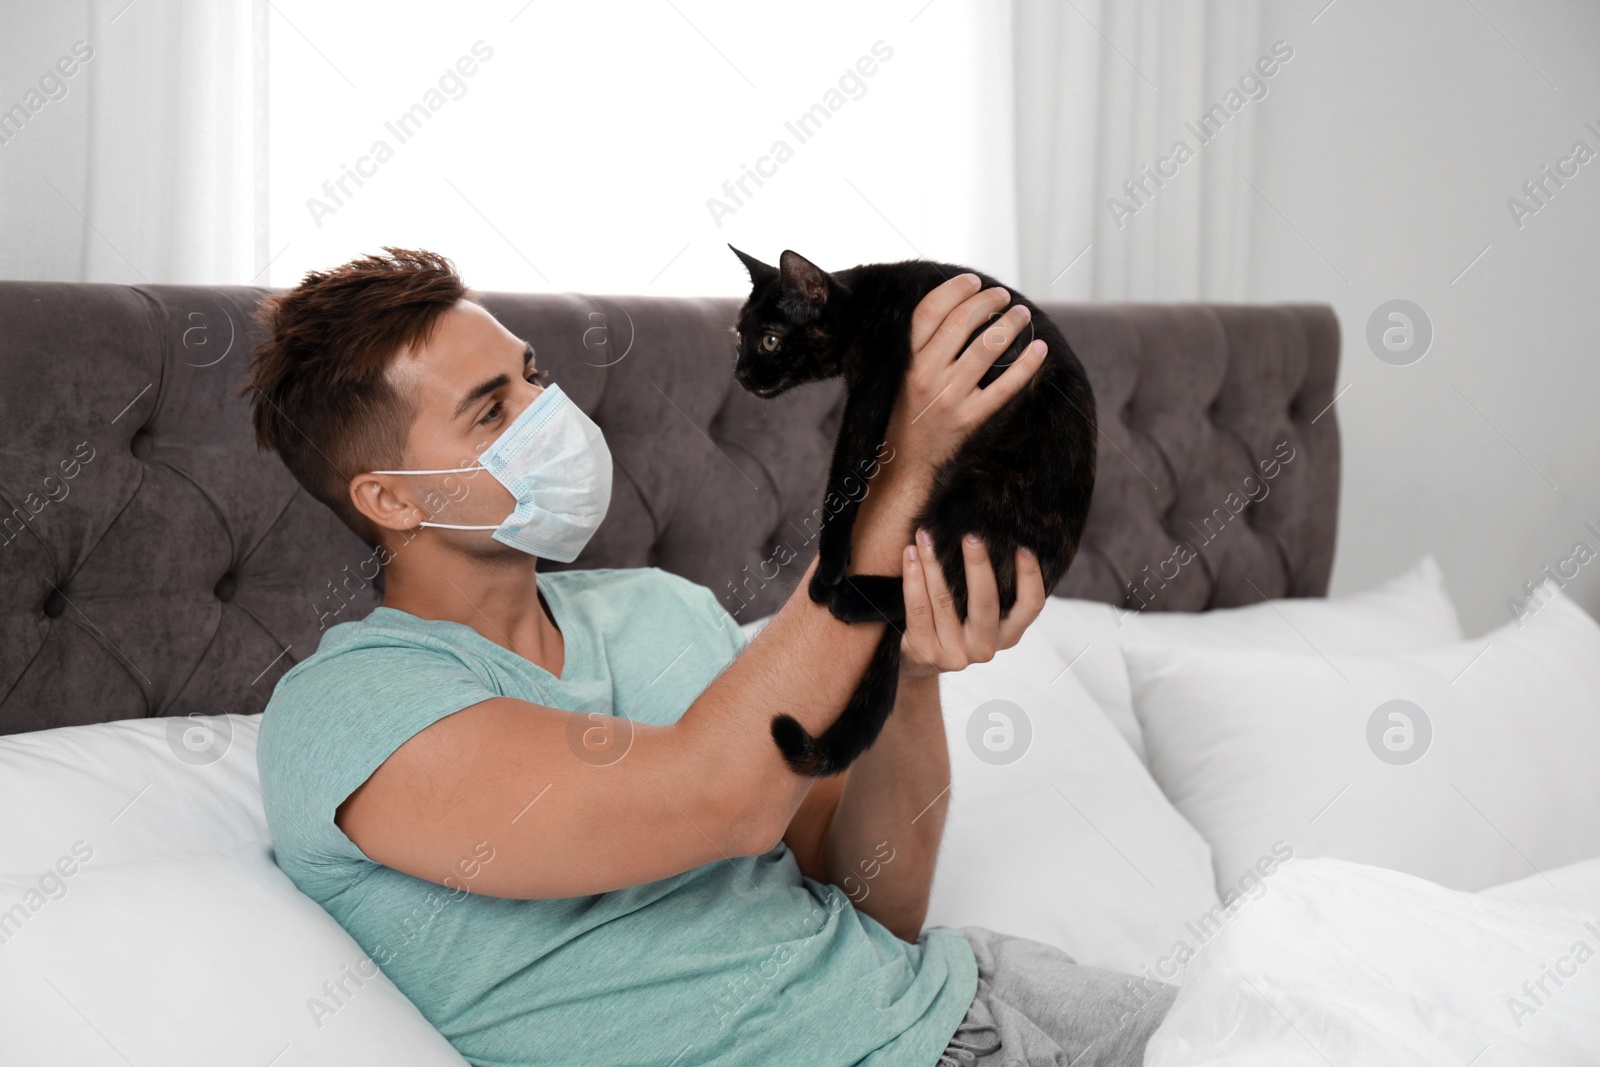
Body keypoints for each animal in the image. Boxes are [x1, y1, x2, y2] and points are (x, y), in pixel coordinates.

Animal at [732, 247, 1094, 777]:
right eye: (739, 337)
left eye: (771, 340)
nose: (739, 373)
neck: (862, 298)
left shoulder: (873, 381)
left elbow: (845, 478)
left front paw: (828, 568)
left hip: (974, 491)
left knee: (947, 583)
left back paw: (851, 595)